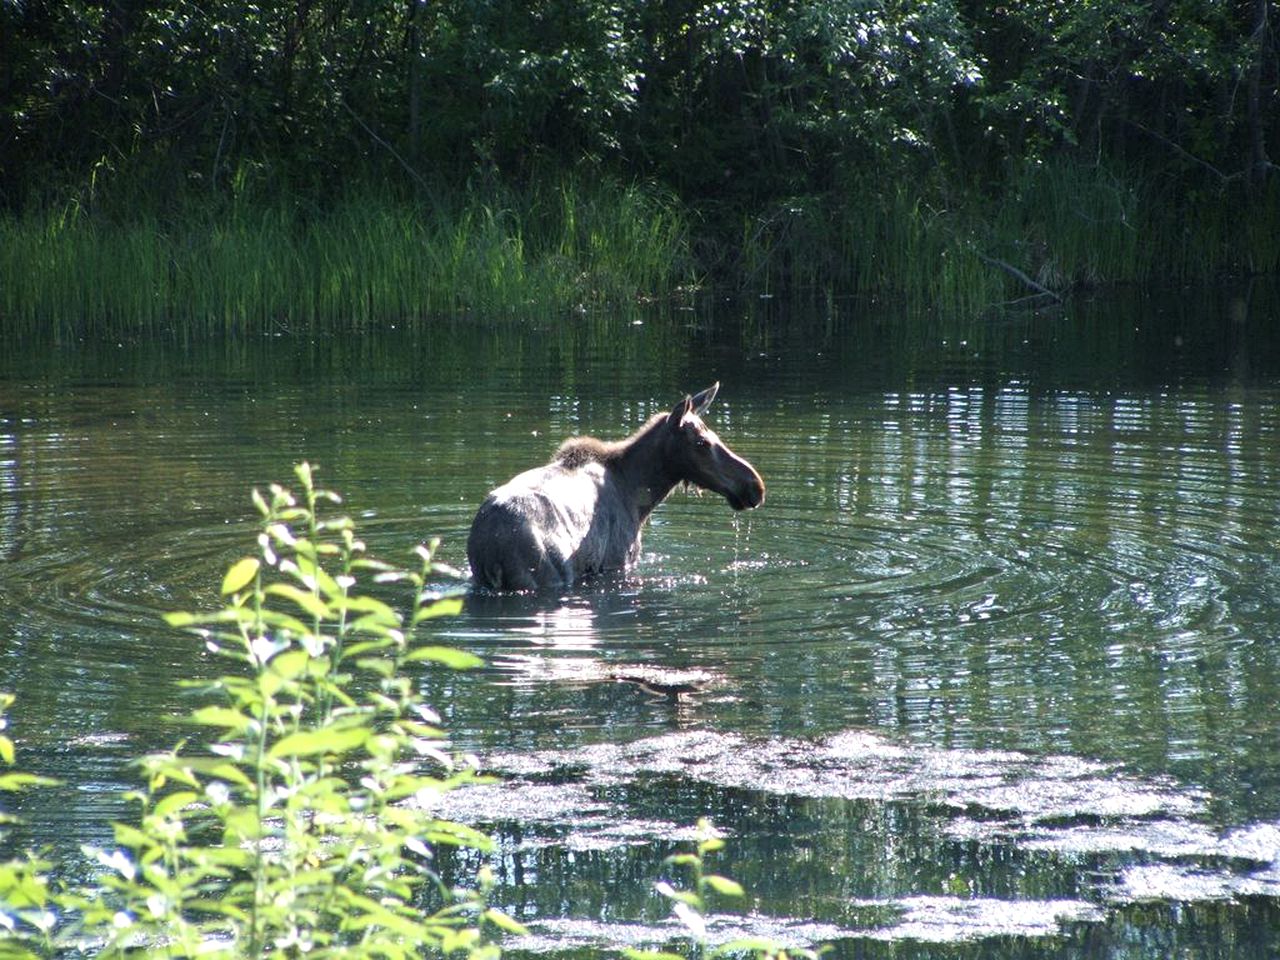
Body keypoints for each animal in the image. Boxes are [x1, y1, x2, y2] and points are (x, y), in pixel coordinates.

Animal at [471, 386, 768, 593]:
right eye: (702, 442)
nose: (755, 486)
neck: (640, 498)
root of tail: (488, 548)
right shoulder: (618, 561)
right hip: (545, 577)